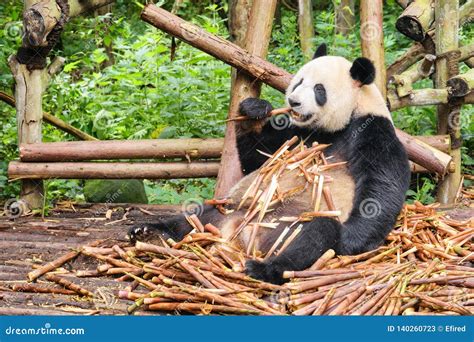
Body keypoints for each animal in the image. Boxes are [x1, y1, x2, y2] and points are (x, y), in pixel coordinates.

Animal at [130, 44, 412, 286]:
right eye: (299, 81)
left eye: (319, 90)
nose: (294, 102)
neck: (341, 122)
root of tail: (240, 239)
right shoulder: (298, 134)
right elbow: (260, 159)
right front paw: (253, 111)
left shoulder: (372, 131)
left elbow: (380, 188)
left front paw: (352, 238)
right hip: (229, 210)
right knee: (194, 217)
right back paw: (149, 232)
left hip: (288, 226)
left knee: (314, 235)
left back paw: (264, 268)